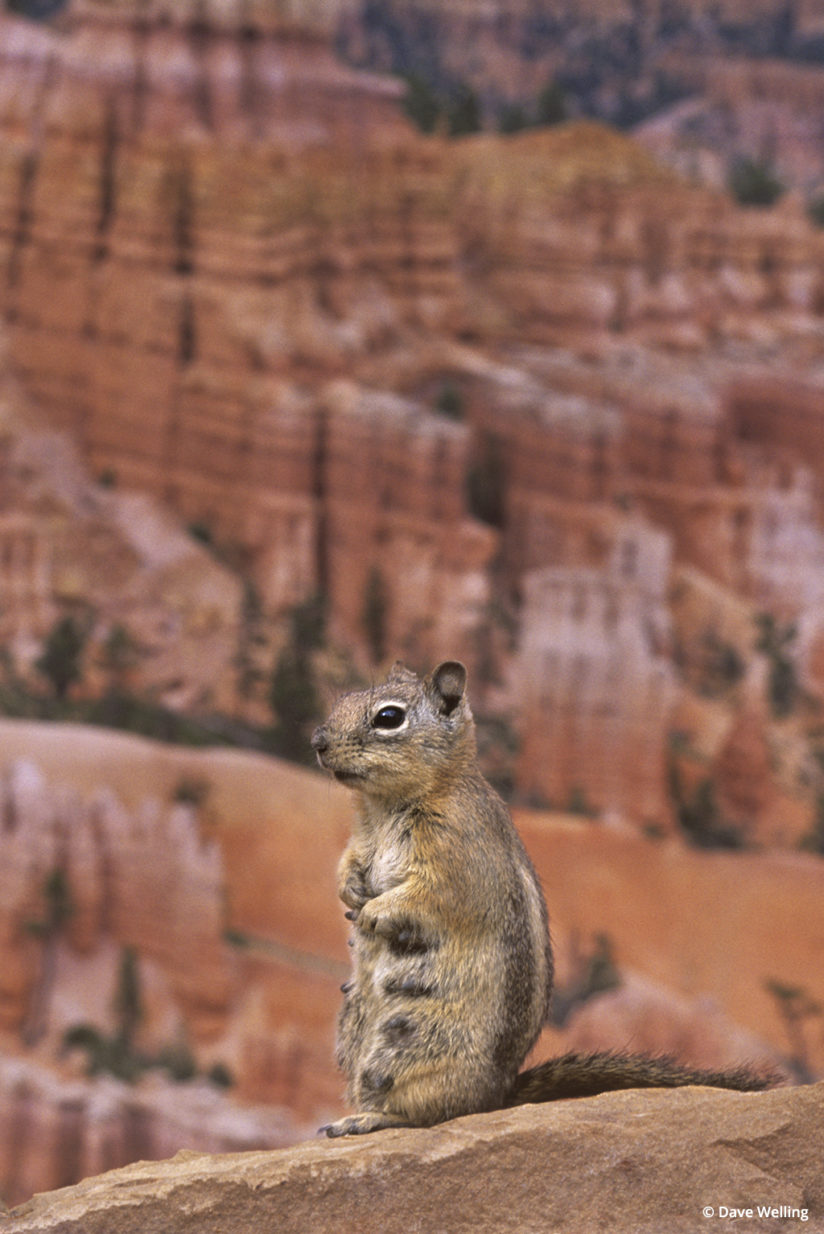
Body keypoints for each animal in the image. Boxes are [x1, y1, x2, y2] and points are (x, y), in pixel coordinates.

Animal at [310, 661, 774, 1130]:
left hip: (413, 1043)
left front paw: (373, 912)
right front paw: (350, 892)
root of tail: (498, 1093)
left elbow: (430, 897)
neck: (384, 808)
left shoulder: (455, 862)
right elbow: (348, 862)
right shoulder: (361, 841)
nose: (318, 741)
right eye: (344, 699)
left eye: (388, 717)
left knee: (434, 1112)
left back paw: (368, 1119)